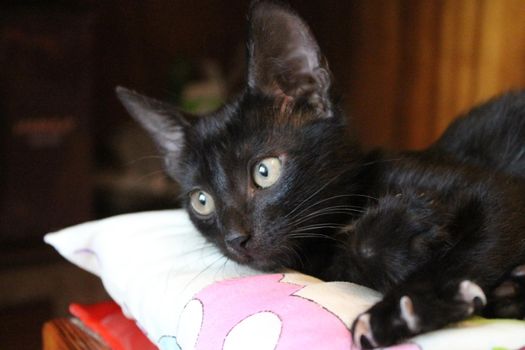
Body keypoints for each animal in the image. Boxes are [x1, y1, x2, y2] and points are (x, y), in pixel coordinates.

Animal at [115, 0, 524, 348]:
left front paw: (402, 310)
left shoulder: (501, 194)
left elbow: (466, 251)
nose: (235, 239)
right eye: (202, 201)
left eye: (265, 171)